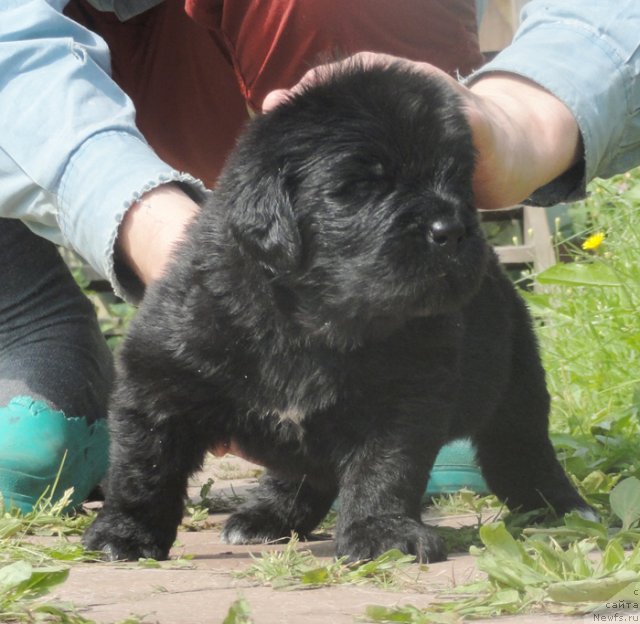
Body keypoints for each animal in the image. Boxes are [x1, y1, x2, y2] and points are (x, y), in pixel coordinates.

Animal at [84, 62, 592, 560]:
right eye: (362, 185)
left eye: (458, 181)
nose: (450, 230)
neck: (311, 324)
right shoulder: (158, 378)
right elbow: (143, 468)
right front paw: (123, 533)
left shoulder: (405, 398)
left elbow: (385, 469)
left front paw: (381, 533)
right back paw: (268, 516)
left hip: (516, 381)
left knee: (521, 448)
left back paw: (563, 507)